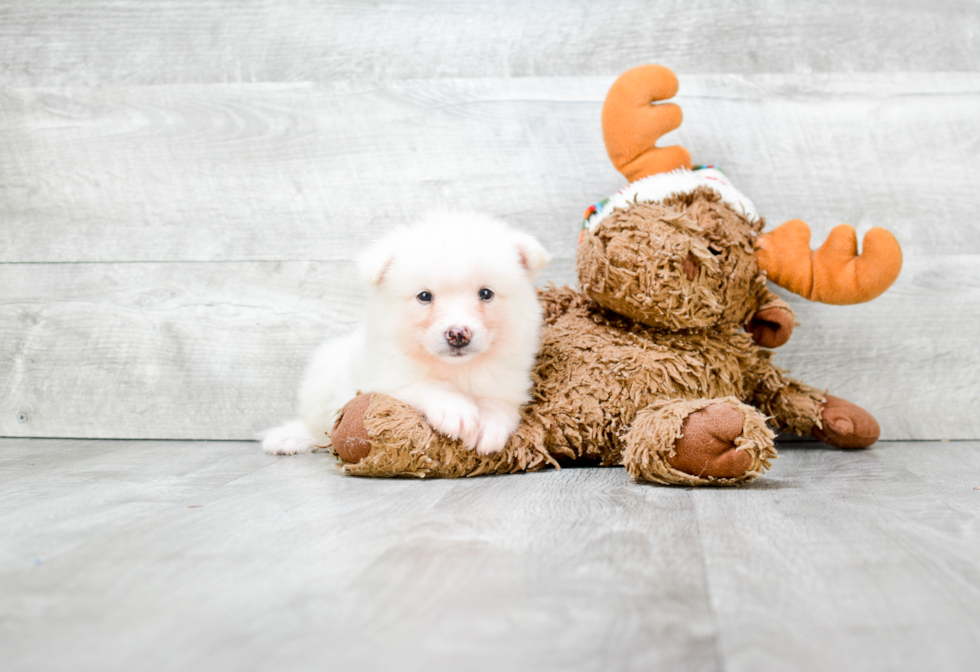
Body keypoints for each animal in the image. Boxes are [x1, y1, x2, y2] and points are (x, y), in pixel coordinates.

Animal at [260, 213, 552, 456]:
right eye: (424, 296)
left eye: (486, 293)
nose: (458, 334)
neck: (457, 369)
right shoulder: (383, 381)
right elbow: (426, 384)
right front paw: (455, 409)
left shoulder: (510, 384)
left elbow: (498, 402)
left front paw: (487, 426)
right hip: (321, 379)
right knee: (316, 426)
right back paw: (290, 438)